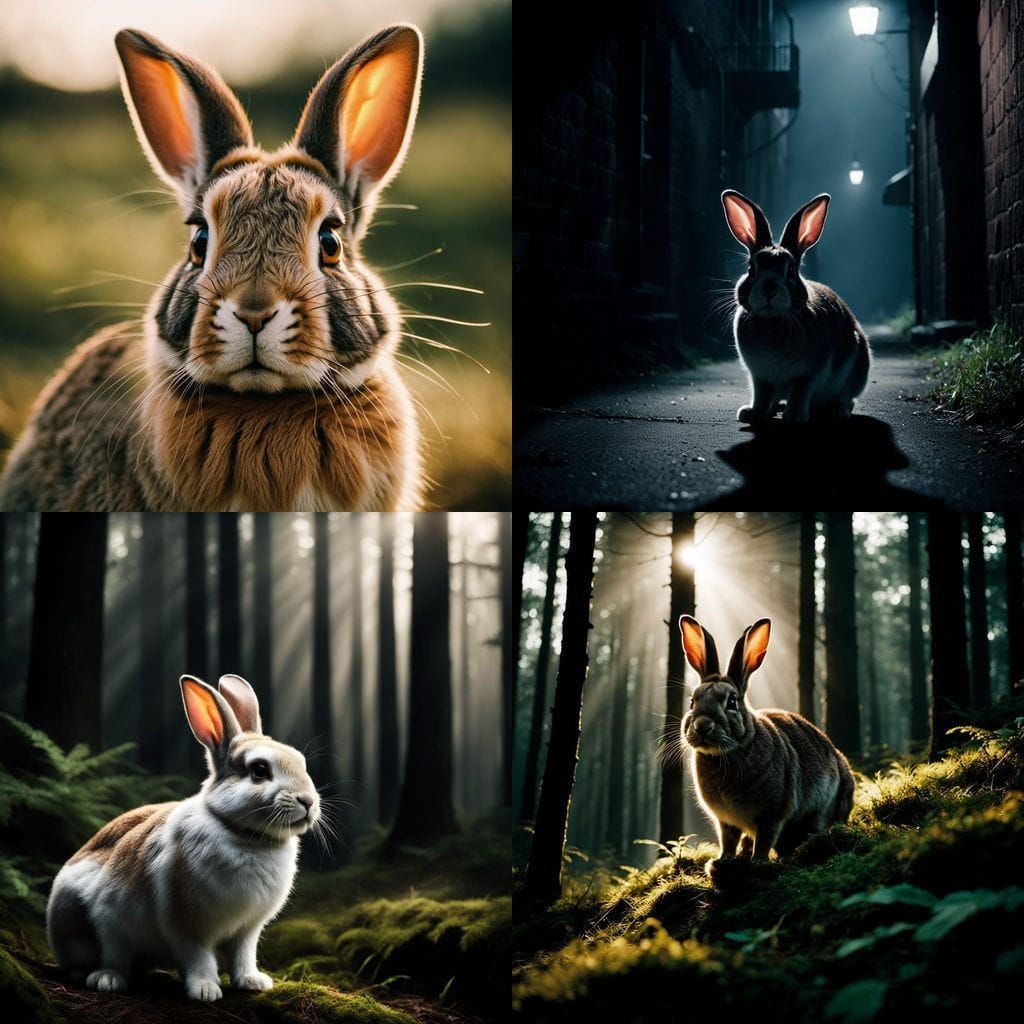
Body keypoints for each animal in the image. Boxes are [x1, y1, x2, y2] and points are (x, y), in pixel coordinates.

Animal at [46, 674, 321, 1001]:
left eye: (301, 762)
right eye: (259, 770)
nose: (308, 801)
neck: (243, 834)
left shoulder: (247, 930)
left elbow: (243, 956)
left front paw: (253, 981)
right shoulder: (186, 924)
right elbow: (198, 957)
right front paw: (205, 990)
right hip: (102, 923)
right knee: (109, 957)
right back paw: (105, 979)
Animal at [678, 615, 854, 863]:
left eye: (731, 702)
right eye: (693, 702)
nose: (702, 726)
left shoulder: (772, 814)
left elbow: (764, 839)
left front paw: (757, 861)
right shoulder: (725, 821)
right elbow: (728, 839)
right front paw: (721, 861)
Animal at [721, 189, 872, 425]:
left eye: (791, 270)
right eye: (751, 269)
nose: (769, 290)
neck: (771, 321)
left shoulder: (808, 374)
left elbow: (800, 392)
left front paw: (794, 417)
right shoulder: (760, 377)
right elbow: (761, 395)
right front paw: (754, 414)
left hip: (855, 370)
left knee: (847, 398)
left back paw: (837, 411)